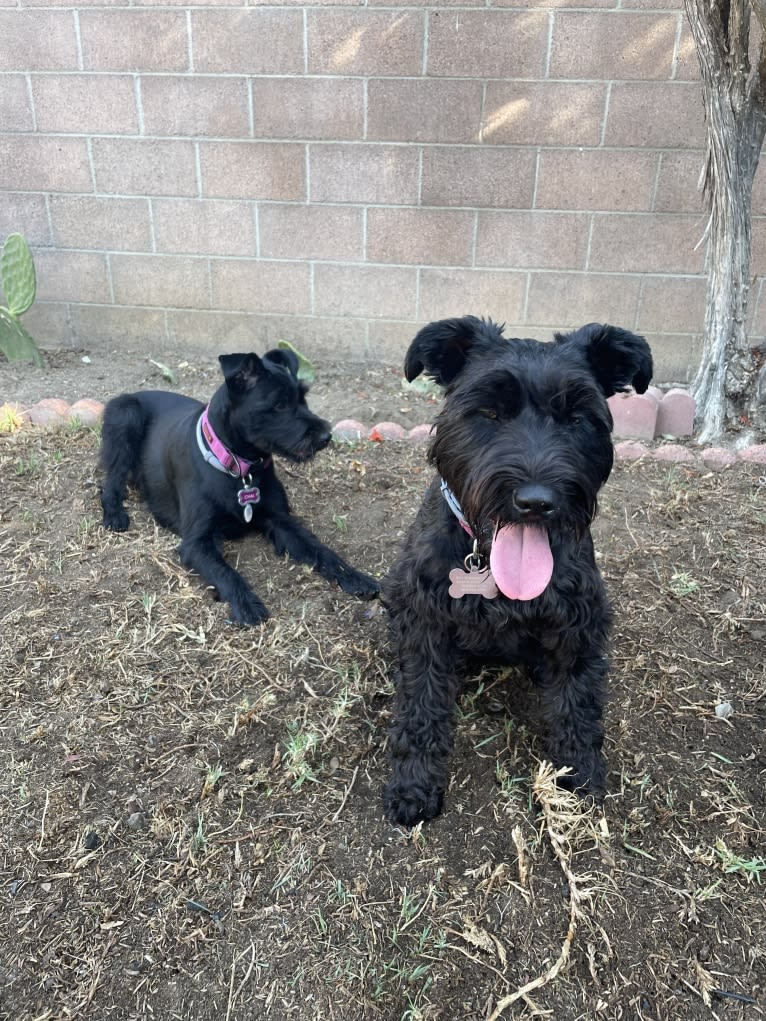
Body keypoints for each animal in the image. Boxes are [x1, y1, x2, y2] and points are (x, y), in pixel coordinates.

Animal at [99, 349, 381, 620]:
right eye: (279, 404)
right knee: (110, 482)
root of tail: (135, 393)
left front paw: (356, 577)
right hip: (126, 416)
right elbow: (226, 572)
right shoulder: (197, 542)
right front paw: (246, 605)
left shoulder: (281, 521)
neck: (239, 469)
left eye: (303, 397)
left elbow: (321, 550)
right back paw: (115, 515)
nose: (326, 436)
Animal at [384, 314, 653, 824]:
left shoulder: (578, 623)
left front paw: (578, 772)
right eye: (489, 412)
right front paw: (413, 783)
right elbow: (422, 702)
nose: (536, 502)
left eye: (576, 416)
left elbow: (577, 700)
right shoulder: (425, 620)